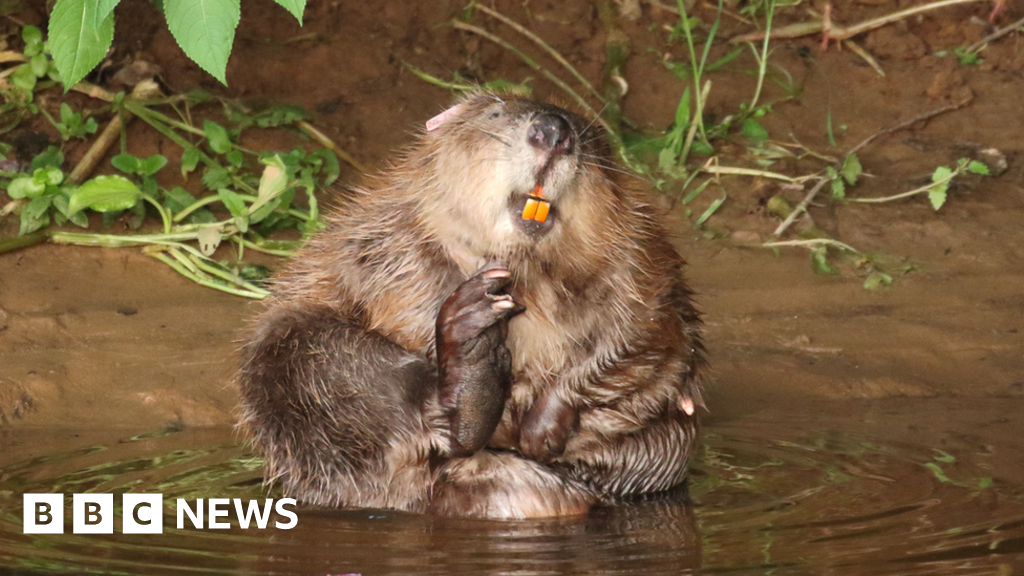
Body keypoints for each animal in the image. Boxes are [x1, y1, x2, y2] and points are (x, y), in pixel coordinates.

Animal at [236, 91, 708, 518]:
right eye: (495, 113)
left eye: (590, 137)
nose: (554, 131)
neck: (530, 270)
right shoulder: (386, 238)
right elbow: (394, 296)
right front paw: (486, 305)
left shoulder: (642, 258)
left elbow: (641, 337)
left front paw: (540, 430)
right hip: (293, 352)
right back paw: (471, 352)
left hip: (670, 448)